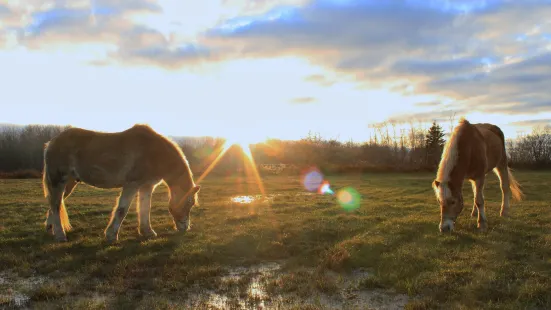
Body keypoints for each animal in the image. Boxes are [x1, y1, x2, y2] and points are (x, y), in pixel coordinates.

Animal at [41, 123, 201, 242]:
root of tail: (51, 143)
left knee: (54, 204)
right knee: (55, 205)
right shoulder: (132, 185)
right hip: (58, 180)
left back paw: (50, 229)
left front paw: (147, 232)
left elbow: (145, 208)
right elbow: (122, 209)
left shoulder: (147, 186)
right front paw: (111, 235)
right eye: (189, 203)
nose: (185, 228)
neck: (153, 152)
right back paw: (60, 235)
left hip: (69, 183)